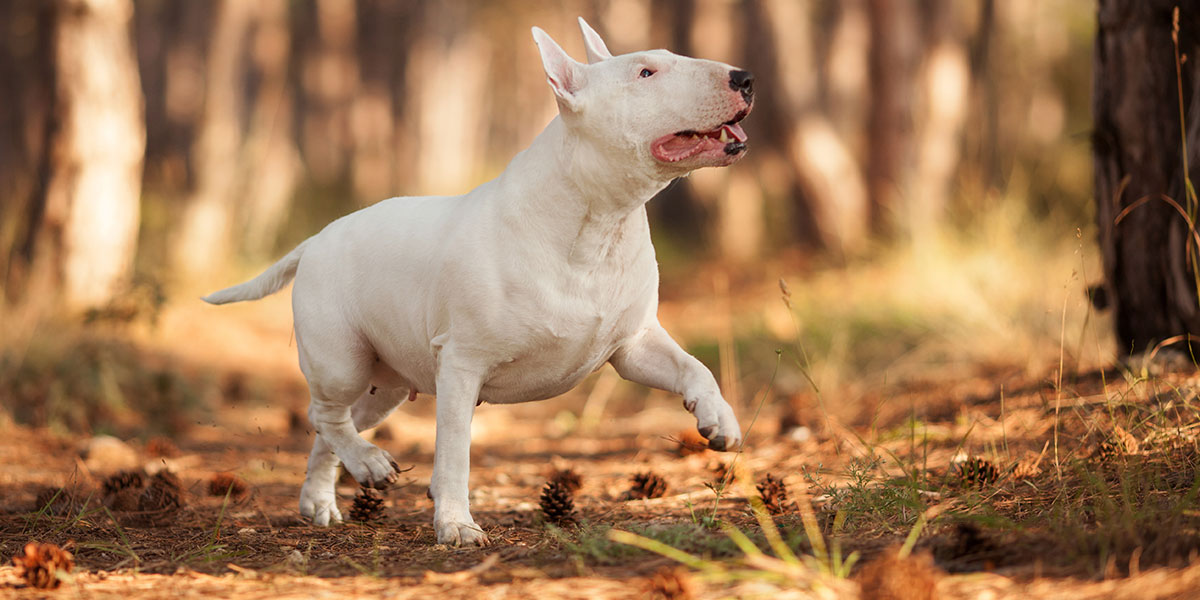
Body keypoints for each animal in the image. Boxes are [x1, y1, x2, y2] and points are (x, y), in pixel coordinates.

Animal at [205, 18, 748, 547]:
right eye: (645, 73)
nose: (744, 78)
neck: (597, 220)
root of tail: (314, 240)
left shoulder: (633, 345)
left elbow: (695, 367)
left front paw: (719, 421)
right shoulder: (463, 363)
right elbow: (454, 451)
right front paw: (456, 526)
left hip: (385, 385)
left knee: (333, 426)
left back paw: (320, 500)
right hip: (341, 359)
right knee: (323, 414)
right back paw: (369, 463)